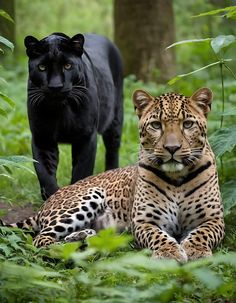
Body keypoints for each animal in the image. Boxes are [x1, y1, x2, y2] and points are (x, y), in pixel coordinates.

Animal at [4, 86, 225, 262]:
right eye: (156, 125)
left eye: (187, 124)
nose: (172, 148)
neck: (176, 178)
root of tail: (48, 201)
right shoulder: (144, 222)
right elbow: (158, 236)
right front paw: (169, 252)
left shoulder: (214, 219)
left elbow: (202, 233)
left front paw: (196, 250)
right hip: (85, 198)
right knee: (41, 238)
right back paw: (70, 248)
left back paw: (84, 238)